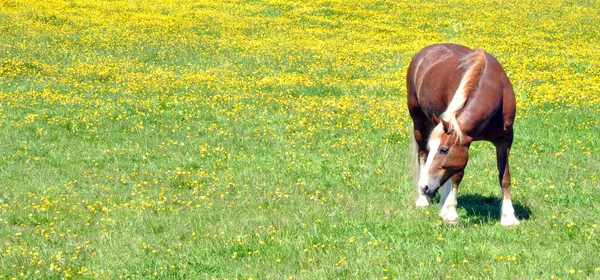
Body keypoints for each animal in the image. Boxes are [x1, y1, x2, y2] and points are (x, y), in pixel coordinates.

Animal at [408, 44, 520, 228]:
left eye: (444, 150)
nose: (424, 187)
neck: (494, 90)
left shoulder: (504, 140)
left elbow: (504, 177)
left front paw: (509, 217)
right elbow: (457, 175)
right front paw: (450, 212)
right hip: (418, 120)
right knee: (422, 155)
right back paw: (423, 200)